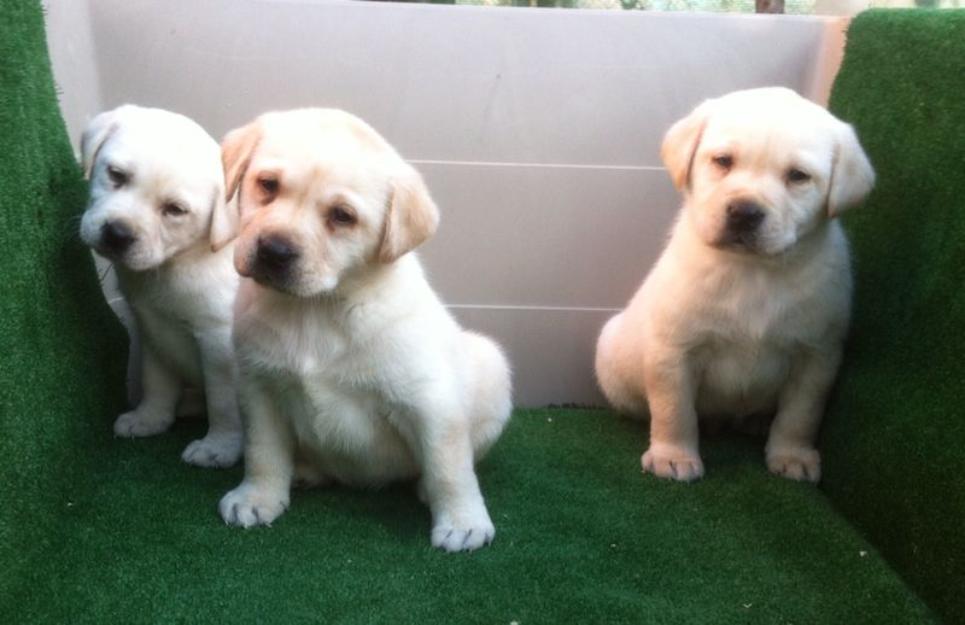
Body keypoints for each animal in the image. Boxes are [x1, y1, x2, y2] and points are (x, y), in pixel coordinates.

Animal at [80, 105, 243, 466]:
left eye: (175, 210)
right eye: (116, 175)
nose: (118, 234)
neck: (176, 264)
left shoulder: (220, 343)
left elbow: (224, 402)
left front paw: (219, 447)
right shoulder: (153, 329)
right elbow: (156, 382)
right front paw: (150, 419)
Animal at [211, 108, 512, 552]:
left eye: (342, 216)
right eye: (268, 184)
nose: (274, 251)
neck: (316, 308)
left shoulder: (431, 401)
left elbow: (448, 466)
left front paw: (463, 521)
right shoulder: (259, 388)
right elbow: (262, 451)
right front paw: (257, 497)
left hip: (492, 364)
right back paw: (304, 471)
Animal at [596, 86, 872, 482]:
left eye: (798, 176)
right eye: (723, 161)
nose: (744, 212)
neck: (753, 271)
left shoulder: (817, 356)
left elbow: (801, 416)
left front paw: (793, 456)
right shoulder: (674, 352)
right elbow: (674, 410)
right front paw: (673, 456)